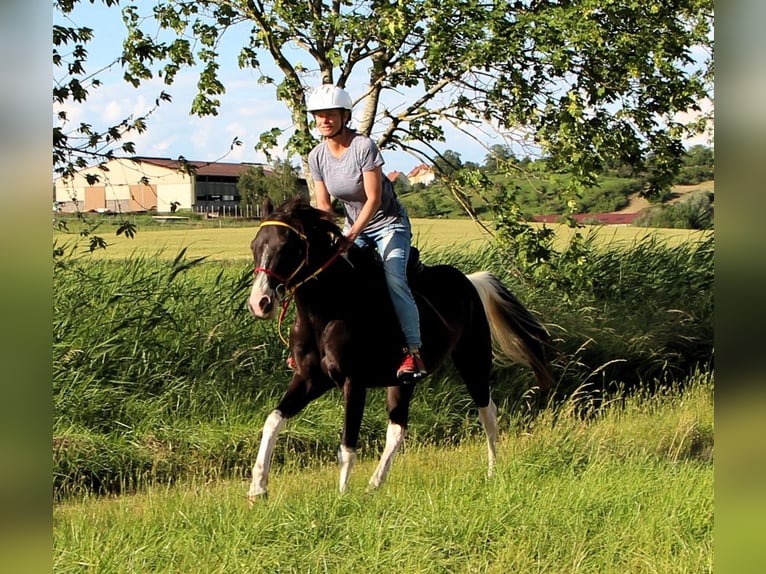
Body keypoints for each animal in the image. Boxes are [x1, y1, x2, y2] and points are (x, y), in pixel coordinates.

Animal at [249, 197, 556, 500]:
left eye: (287, 246)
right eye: (255, 246)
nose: (259, 303)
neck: (327, 311)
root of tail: (470, 281)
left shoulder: (353, 382)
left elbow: (347, 445)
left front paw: (342, 497)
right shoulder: (310, 379)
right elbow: (273, 421)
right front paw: (257, 489)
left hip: (473, 361)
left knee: (487, 412)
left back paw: (492, 471)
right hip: (402, 381)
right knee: (398, 429)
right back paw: (374, 484)